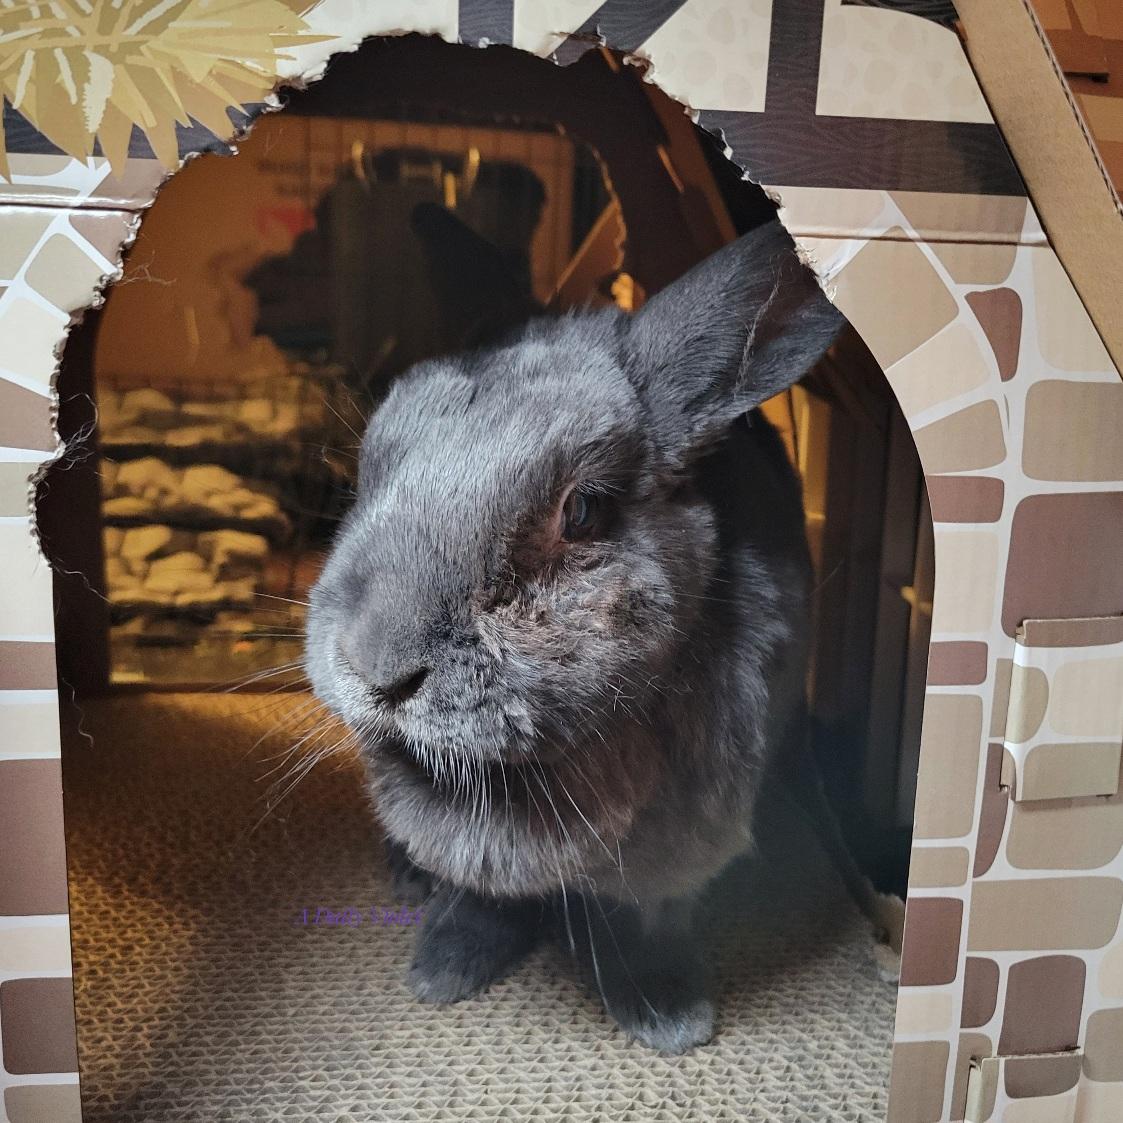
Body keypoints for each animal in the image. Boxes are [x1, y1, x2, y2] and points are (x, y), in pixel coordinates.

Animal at [305, 217, 845, 1053]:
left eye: (583, 511)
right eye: (367, 472)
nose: (376, 666)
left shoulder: (679, 852)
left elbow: (645, 918)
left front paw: (670, 1017)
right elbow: (478, 900)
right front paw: (440, 971)